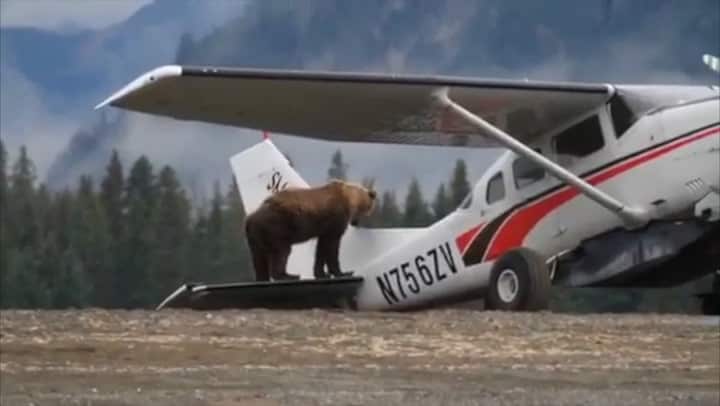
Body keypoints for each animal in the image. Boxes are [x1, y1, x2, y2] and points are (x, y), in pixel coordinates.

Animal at [244, 179, 376, 281]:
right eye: (369, 208)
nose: (355, 223)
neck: (349, 199)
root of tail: (250, 219)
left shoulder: (324, 229)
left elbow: (321, 248)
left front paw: (322, 273)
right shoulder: (335, 219)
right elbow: (332, 246)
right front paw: (343, 272)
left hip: (255, 238)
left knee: (259, 259)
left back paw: (263, 277)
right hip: (277, 227)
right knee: (282, 251)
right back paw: (289, 275)